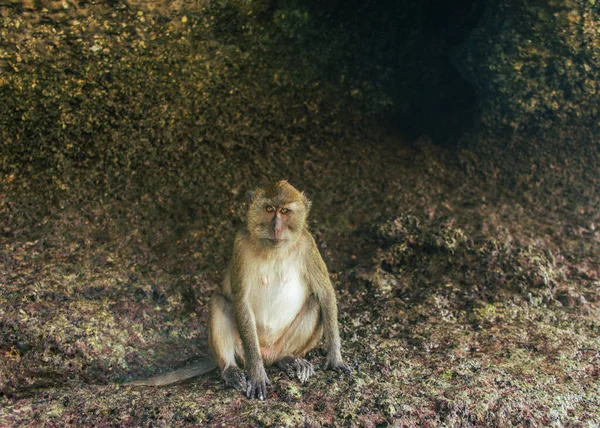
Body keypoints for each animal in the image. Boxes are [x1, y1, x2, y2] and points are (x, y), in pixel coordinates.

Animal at [128, 180, 350, 398]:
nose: (276, 228)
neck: (274, 249)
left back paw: (288, 359)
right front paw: (257, 373)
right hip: (241, 349)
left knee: (314, 303)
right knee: (219, 302)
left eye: (285, 211)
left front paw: (335, 358)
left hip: (279, 346)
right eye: (269, 209)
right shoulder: (240, 245)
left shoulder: (308, 245)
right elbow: (241, 300)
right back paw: (231, 369)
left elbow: (325, 293)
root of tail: (268, 354)